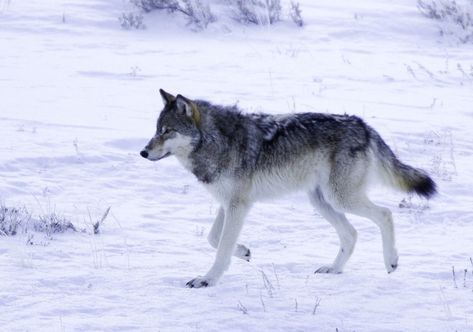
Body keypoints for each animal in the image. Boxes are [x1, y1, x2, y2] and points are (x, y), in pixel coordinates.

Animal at [139, 89, 436, 288]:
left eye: (167, 131)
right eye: (156, 129)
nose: (143, 152)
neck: (215, 141)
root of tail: (363, 125)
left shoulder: (238, 205)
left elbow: (221, 247)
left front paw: (207, 279)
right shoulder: (230, 203)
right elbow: (214, 238)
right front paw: (244, 252)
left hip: (340, 198)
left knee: (385, 214)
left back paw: (391, 261)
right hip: (321, 201)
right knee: (351, 234)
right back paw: (333, 269)